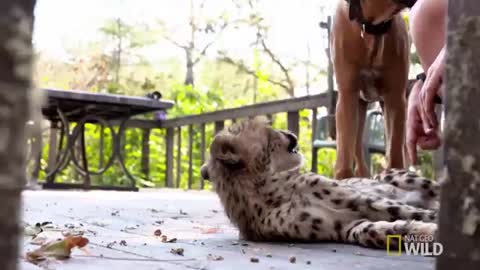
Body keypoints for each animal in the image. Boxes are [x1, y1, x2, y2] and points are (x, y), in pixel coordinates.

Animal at [201, 117, 440, 251]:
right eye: (269, 131)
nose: (291, 134)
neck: (269, 189)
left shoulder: (364, 202)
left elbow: (416, 213)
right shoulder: (346, 226)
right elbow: (376, 231)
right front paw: (426, 231)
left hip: (400, 177)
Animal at [332, 1, 414, 180]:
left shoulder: (395, 98)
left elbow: (395, 147)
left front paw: (396, 173)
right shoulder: (347, 95)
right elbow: (345, 146)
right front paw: (344, 177)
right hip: (358, 108)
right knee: (356, 147)